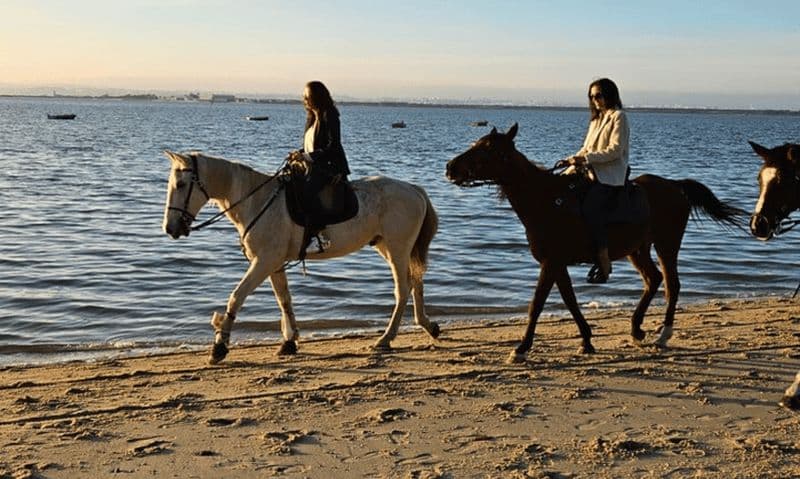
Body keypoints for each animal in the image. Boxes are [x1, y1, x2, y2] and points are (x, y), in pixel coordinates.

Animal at [161, 151, 440, 364]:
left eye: (181, 185)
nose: (170, 228)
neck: (257, 200)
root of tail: (414, 190)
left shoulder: (263, 262)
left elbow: (236, 297)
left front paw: (219, 347)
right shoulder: (273, 264)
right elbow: (284, 300)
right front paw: (289, 341)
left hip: (397, 248)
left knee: (403, 289)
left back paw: (386, 339)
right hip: (391, 248)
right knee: (416, 283)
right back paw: (428, 325)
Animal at [446, 124, 746, 363]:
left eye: (487, 148)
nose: (450, 168)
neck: (547, 201)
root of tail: (674, 186)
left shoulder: (551, 263)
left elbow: (537, 304)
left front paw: (520, 349)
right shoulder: (556, 264)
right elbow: (569, 300)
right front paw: (586, 341)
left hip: (666, 245)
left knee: (672, 284)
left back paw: (663, 334)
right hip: (638, 249)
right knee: (654, 279)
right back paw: (636, 329)